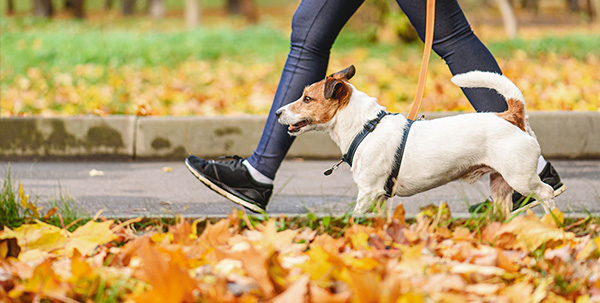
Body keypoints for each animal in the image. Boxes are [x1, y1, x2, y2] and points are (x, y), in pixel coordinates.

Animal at [276, 65, 556, 216]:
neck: (365, 127)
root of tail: (511, 115)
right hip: (500, 186)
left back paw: (554, 221)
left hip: (520, 178)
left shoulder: (368, 192)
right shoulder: (379, 197)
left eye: (307, 99)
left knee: (547, 192)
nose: (277, 112)